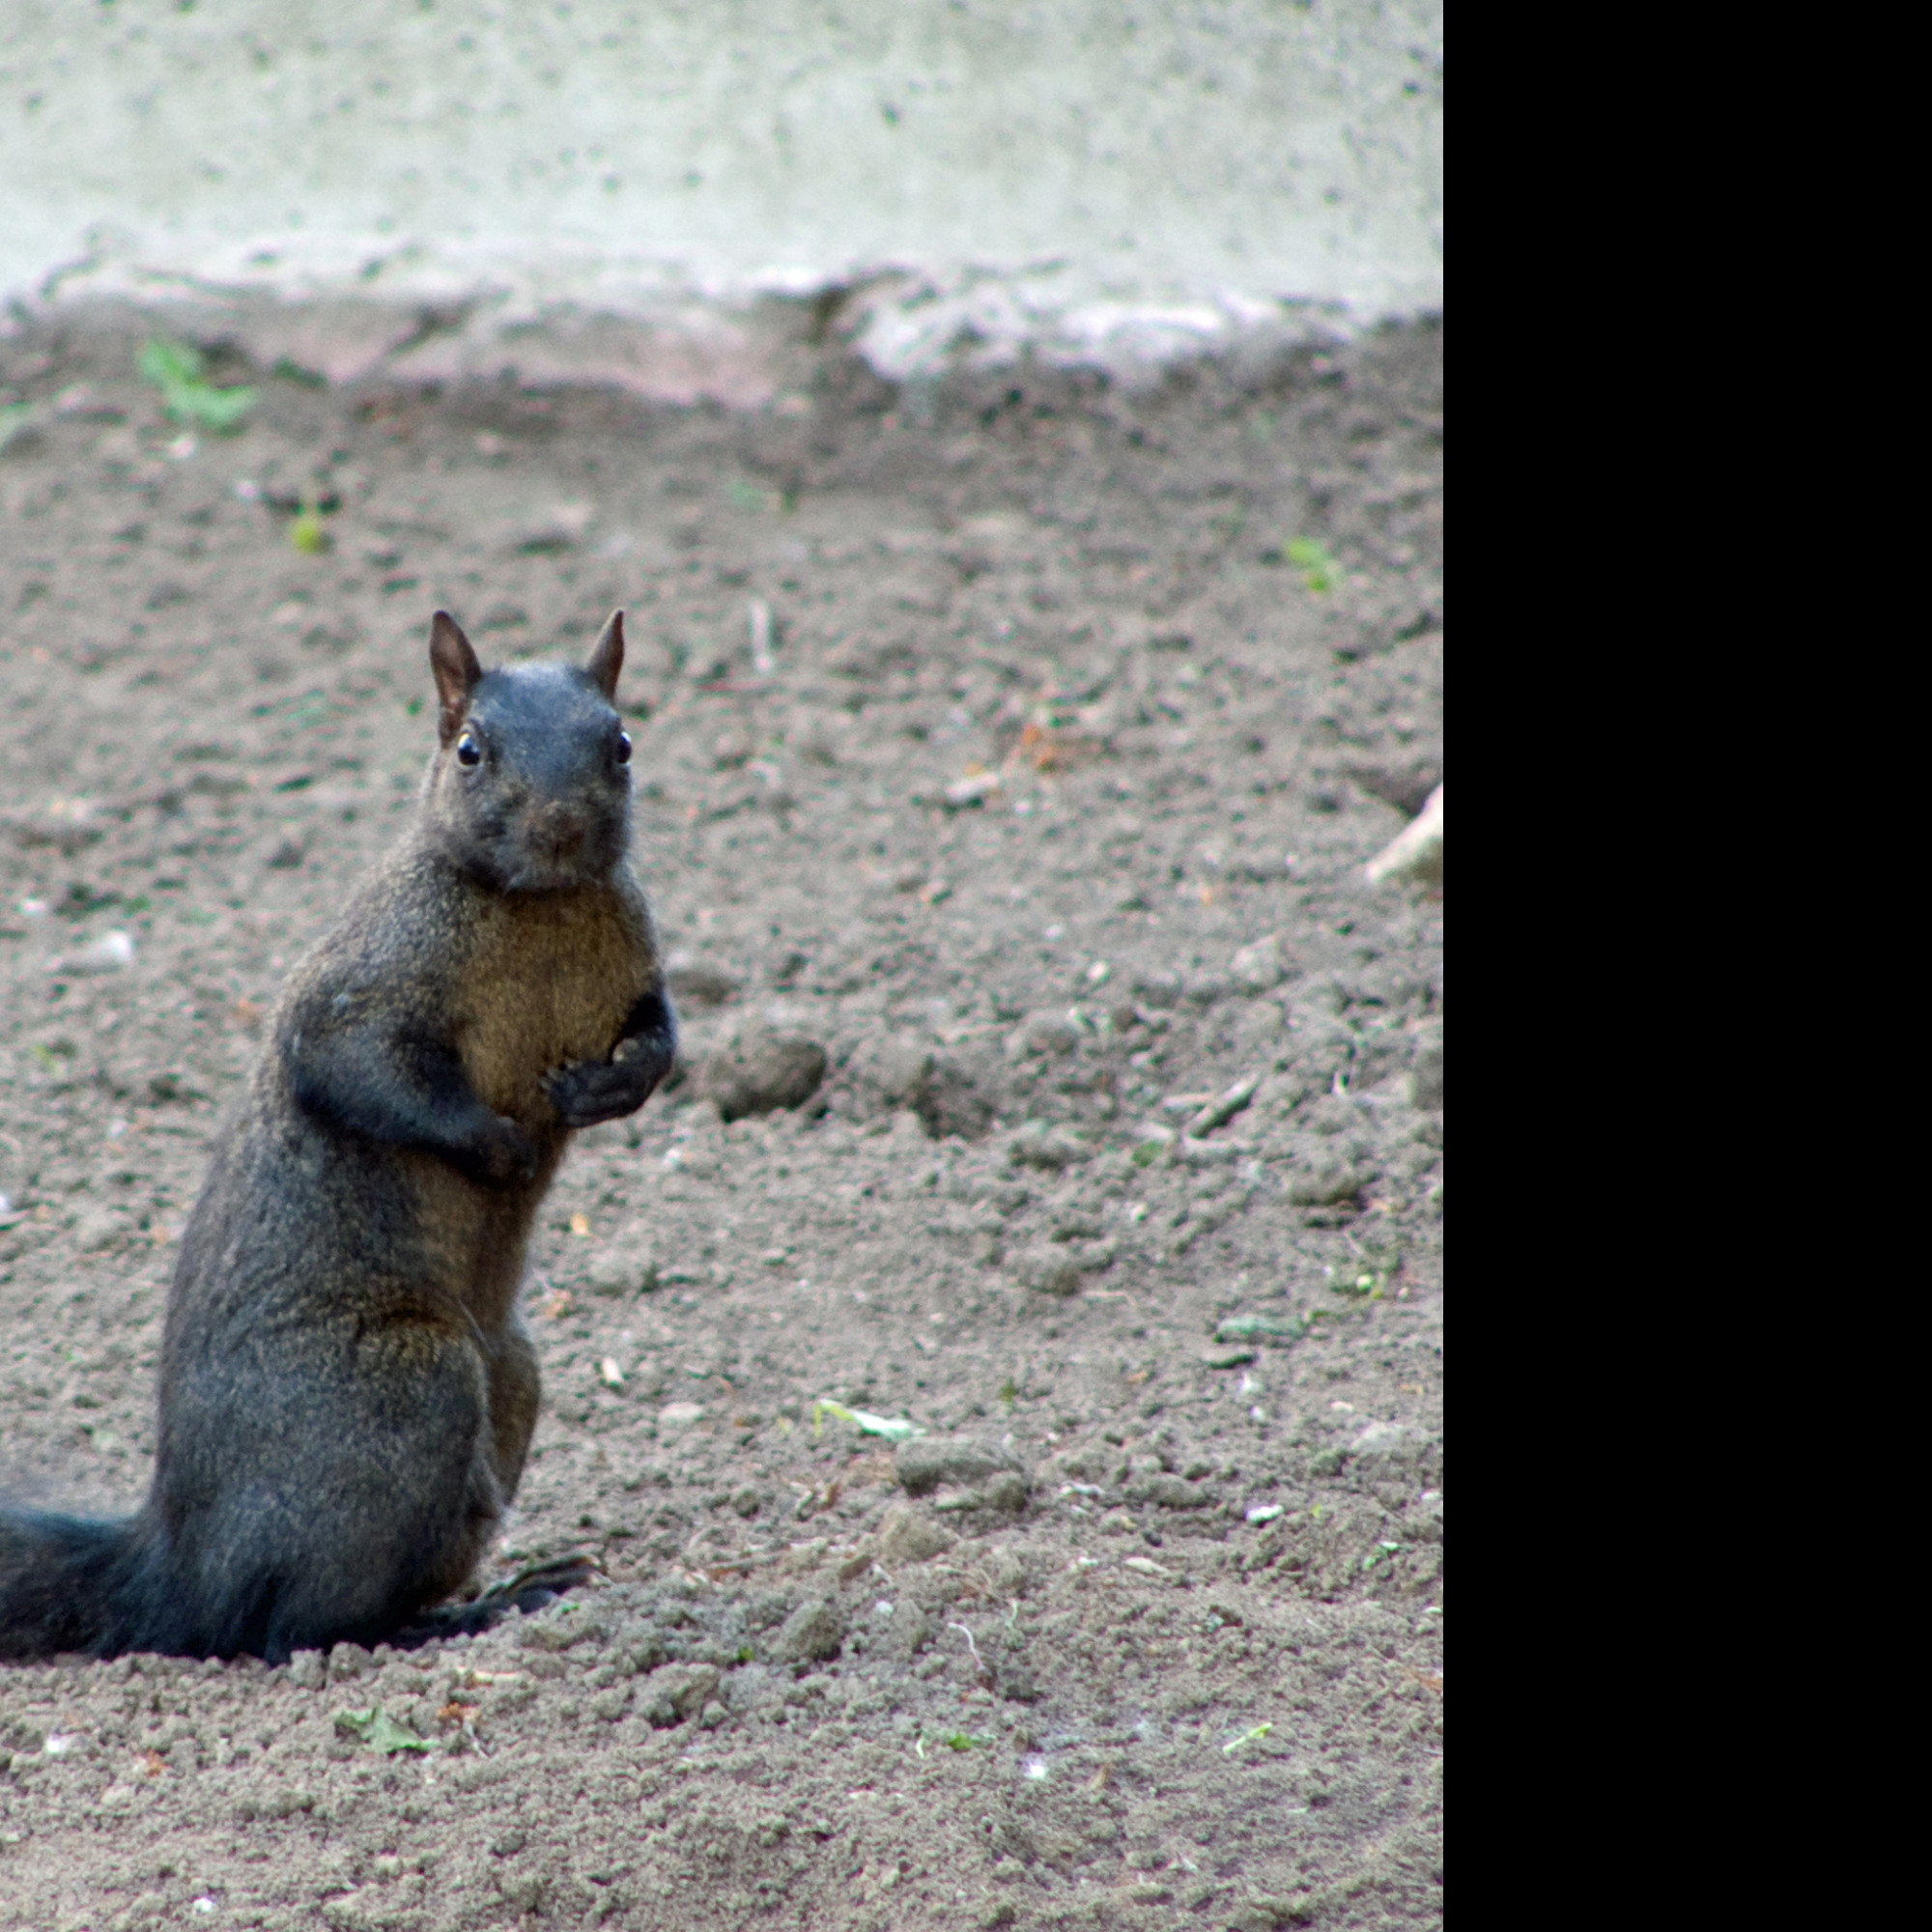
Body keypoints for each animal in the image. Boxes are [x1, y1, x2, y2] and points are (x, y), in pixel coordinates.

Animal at [0, 614, 680, 1662]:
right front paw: (498, 1145)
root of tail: (178, 1576)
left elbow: (657, 1042)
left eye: (623, 742)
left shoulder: (633, 978)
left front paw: (604, 1088)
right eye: (469, 749)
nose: (561, 827)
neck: (538, 903)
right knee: (300, 1626)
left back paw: (507, 1587)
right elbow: (364, 1073)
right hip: (405, 1391)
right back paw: (464, 1614)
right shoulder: (358, 990)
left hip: (508, 1379)